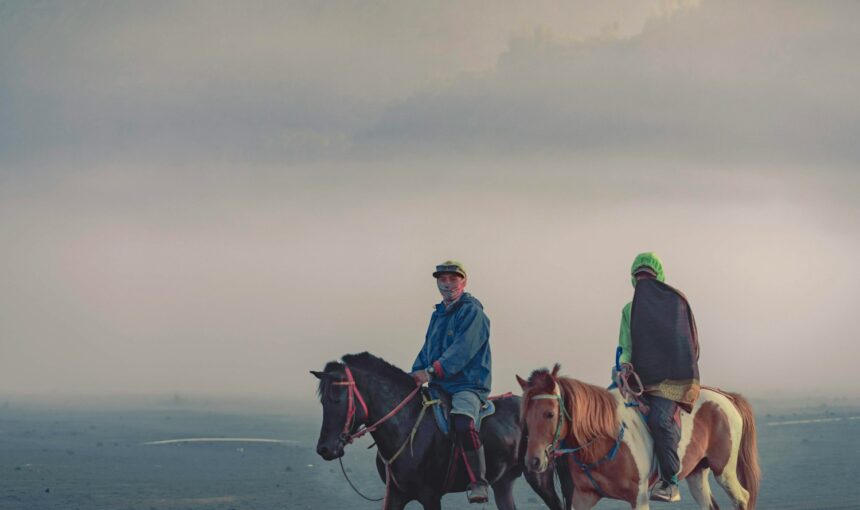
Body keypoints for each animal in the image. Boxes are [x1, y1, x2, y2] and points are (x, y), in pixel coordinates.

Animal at [516, 364, 760, 510]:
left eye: (549, 414)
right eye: (524, 415)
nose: (533, 461)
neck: (604, 443)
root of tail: (726, 397)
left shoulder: (639, 498)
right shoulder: (582, 497)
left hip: (725, 472)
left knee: (743, 497)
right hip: (697, 473)